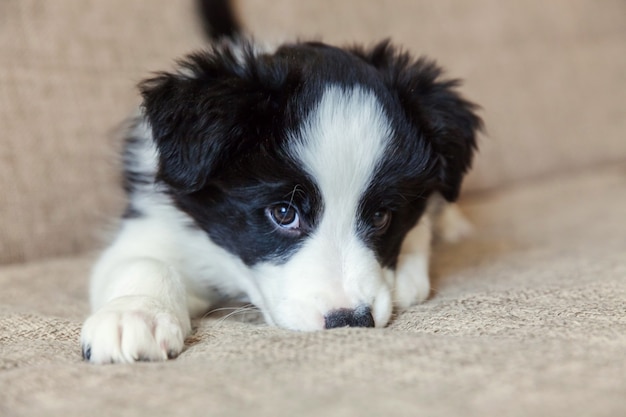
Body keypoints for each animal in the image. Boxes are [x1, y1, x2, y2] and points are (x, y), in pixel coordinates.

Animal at [80, 0, 480, 362]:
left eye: (382, 217)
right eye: (284, 213)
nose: (349, 321)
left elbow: (418, 224)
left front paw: (409, 269)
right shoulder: (153, 223)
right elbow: (141, 262)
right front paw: (133, 315)